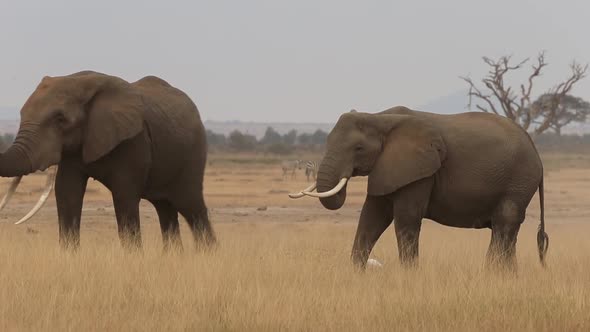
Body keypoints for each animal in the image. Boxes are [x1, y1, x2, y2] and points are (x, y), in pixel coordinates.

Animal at [0, 70, 216, 252]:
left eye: (60, 119)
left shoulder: (134, 140)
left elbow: (124, 195)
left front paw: (133, 259)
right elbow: (67, 193)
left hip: (193, 154)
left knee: (192, 207)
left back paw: (208, 255)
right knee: (165, 208)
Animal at [292, 106, 552, 270]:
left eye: (358, 148)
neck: (380, 117)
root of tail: (536, 151)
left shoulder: (421, 171)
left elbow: (406, 218)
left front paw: (409, 276)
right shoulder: (388, 167)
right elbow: (372, 216)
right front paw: (356, 274)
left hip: (518, 180)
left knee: (503, 225)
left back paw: (493, 275)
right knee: (506, 231)